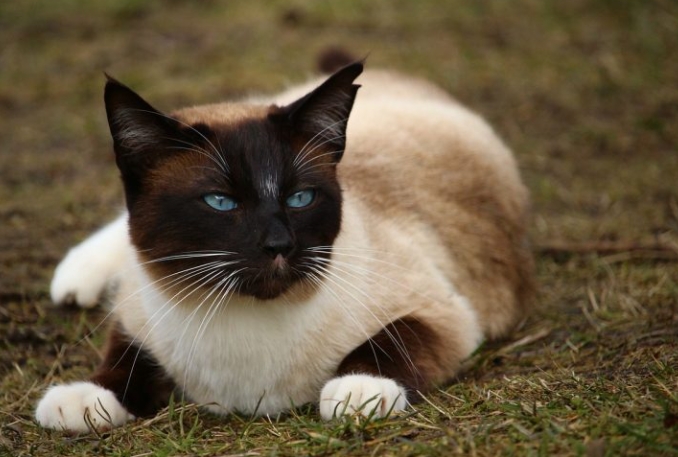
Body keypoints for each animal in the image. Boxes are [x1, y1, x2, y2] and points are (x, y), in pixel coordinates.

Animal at [34, 55, 536, 432]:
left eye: (300, 198)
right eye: (220, 202)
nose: (279, 244)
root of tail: (413, 82)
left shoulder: (445, 314)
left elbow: (389, 344)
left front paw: (356, 391)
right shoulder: (136, 316)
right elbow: (125, 361)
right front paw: (80, 401)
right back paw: (73, 282)